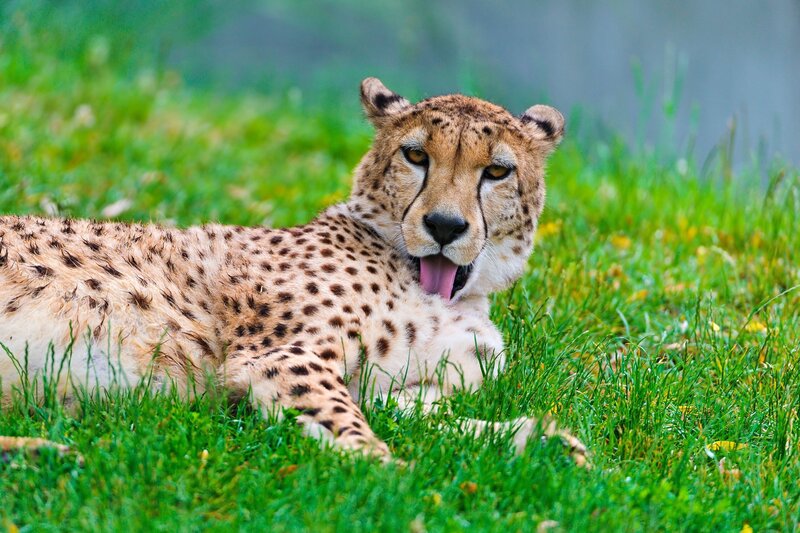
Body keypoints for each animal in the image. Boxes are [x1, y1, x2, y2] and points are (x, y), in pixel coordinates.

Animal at [0, 78, 587, 466]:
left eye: (497, 171)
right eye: (416, 156)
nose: (444, 225)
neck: (453, 295)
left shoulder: (403, 389)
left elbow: (439, 418)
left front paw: (539, 440)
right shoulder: (284, 356)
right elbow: (348, 422)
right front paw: (389, 470)